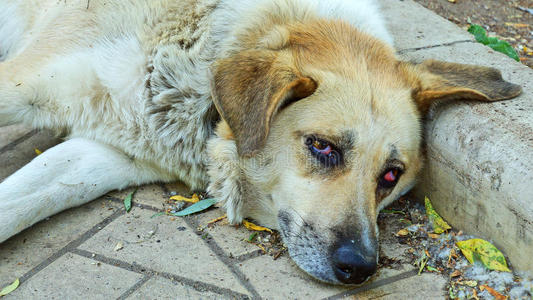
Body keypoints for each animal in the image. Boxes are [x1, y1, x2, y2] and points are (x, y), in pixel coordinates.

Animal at [0, 0, 520, 284]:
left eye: (390, 176)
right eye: (322, 147)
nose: (360, 268)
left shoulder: (108, 153)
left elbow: (18, 202)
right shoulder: (19, 83)